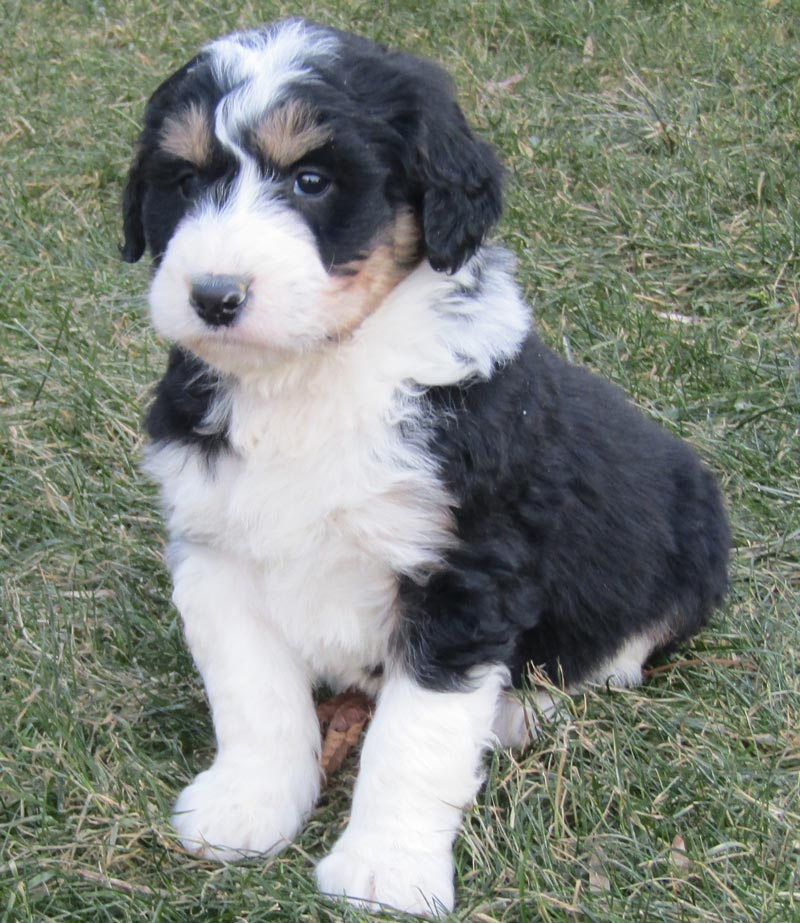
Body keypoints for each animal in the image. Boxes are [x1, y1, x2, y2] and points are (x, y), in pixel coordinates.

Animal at [122, 19, 728, 916]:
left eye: (311, 180)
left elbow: (414, 740)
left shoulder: (464, 580)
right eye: (185, 179)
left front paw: (385, 870)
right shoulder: (216, 549)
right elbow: (253, 696)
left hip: (685, 545)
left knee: (618, 654)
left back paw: (517, 713)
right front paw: (247, 807)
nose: (214, 296)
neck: (314, 377)